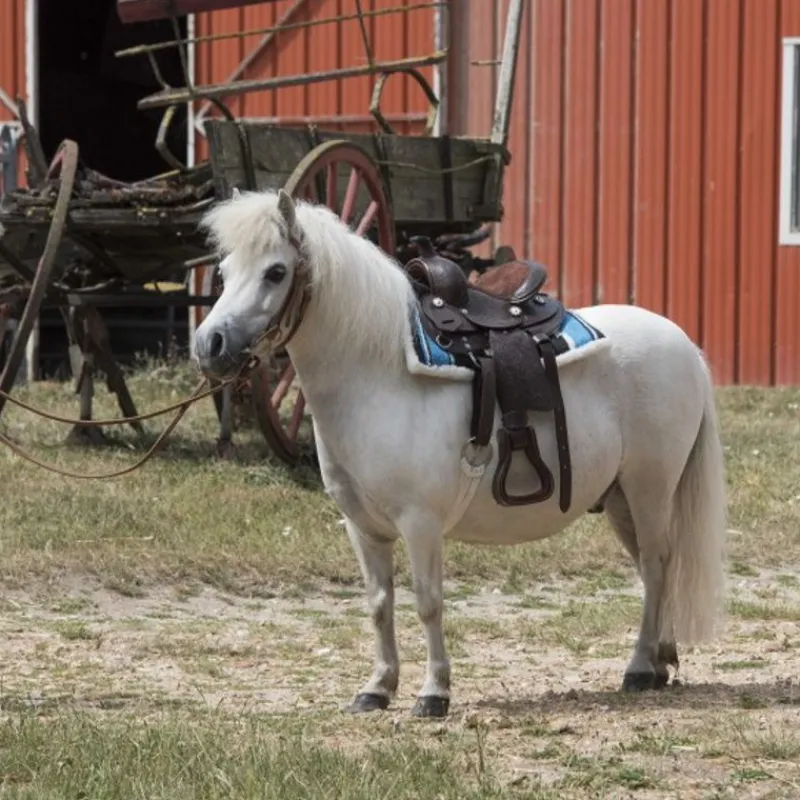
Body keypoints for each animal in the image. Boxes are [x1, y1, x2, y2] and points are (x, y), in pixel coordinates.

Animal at [193, 188, 727, 718]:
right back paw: (661, 660)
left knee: (656, 564)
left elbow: (428, 602)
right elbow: (379, 603)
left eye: (276, 271)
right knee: (653, 567)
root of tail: (684, 344)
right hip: (619, 498)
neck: (379, 375)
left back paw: (639, 669)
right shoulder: (362, 527)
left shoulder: (420, 522)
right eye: (223, 270)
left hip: (649, 487)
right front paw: (377, 688)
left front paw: (434, 693)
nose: (209, 344)